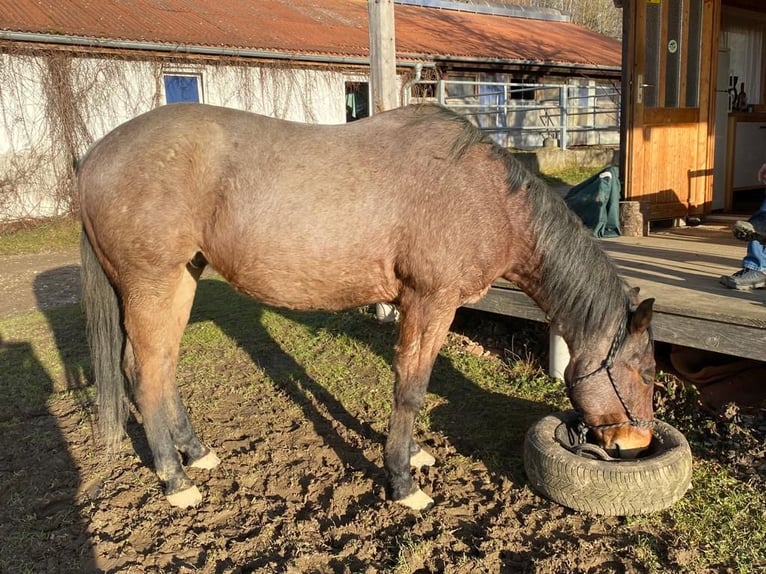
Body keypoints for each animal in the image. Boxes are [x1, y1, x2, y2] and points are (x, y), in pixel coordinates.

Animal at [78, 102, 656, 508]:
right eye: (646, 372)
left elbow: (411, 388)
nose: (634, 443)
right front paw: (402, 481)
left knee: (160, 367)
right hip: (152, 284)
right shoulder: (430, 302)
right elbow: (411, 388)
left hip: (182, 279)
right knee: (147, 375)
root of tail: (95, 157)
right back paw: (175, 480)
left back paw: (195, 454)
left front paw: (413, 456)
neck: (483, 195)